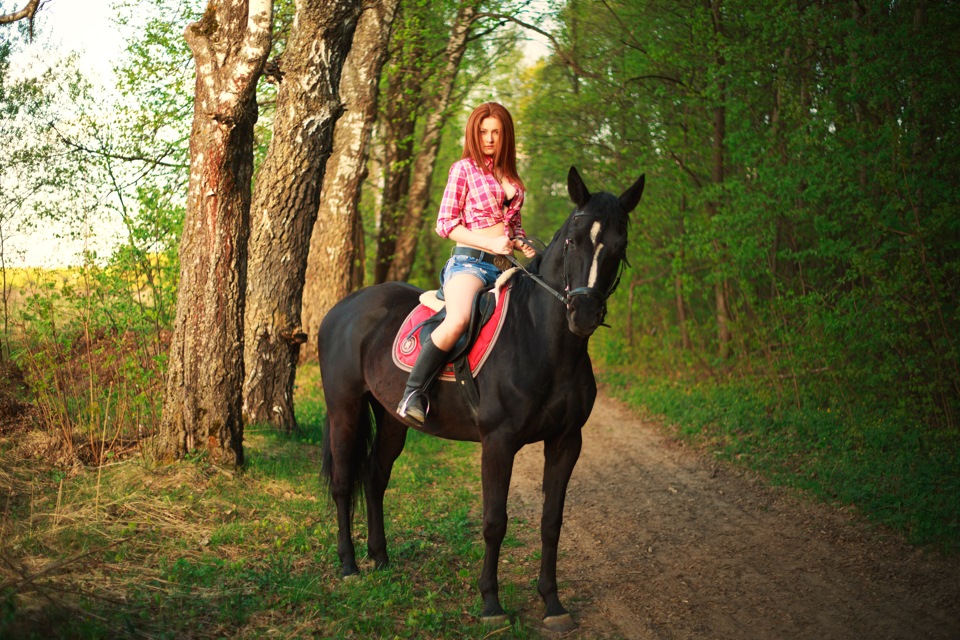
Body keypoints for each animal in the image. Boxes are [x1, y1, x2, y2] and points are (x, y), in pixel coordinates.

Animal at [318, 168, 640, 632]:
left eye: (620, 245)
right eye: (571, 241)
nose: (582, 315)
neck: (542, 341)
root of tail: (342, 308)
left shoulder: (566, 442)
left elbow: (552, 522)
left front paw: (553, 604)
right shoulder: (498, 442)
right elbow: (494, 521)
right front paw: (491, 603)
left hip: (392, 419)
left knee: (376, 478)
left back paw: (380, 559)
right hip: (345, 409)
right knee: (344, 483)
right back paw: (349, 566)